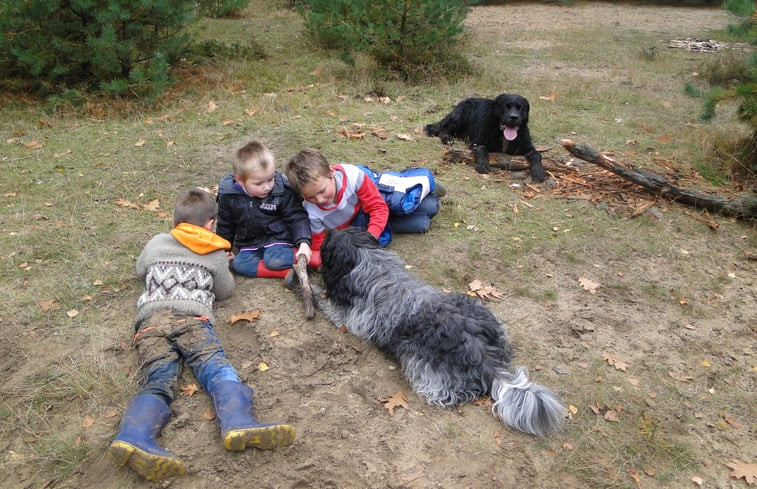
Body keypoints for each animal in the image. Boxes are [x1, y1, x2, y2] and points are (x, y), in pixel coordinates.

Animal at [314, 227, 568, 436]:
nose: (326, 230)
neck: (369, 259)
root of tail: (485, 358)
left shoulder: (349, 317)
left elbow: (326, 305)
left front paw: (310, 288)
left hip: (418, 362)